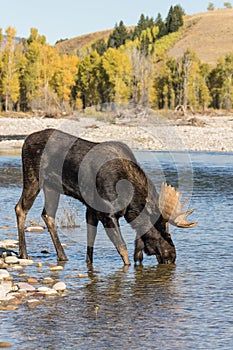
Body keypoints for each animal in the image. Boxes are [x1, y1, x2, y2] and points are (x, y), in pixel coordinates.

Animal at [15, 129, 197, 266]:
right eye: (163, 230)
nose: (172, 256)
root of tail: (25, 141)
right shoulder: (107, 213)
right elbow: (122, 247)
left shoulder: (92, 209)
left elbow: (91, 244)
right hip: (33, 179)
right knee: (20, 208)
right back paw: (24, 253)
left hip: (52, 188)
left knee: (47, 215)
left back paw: (62, 256)